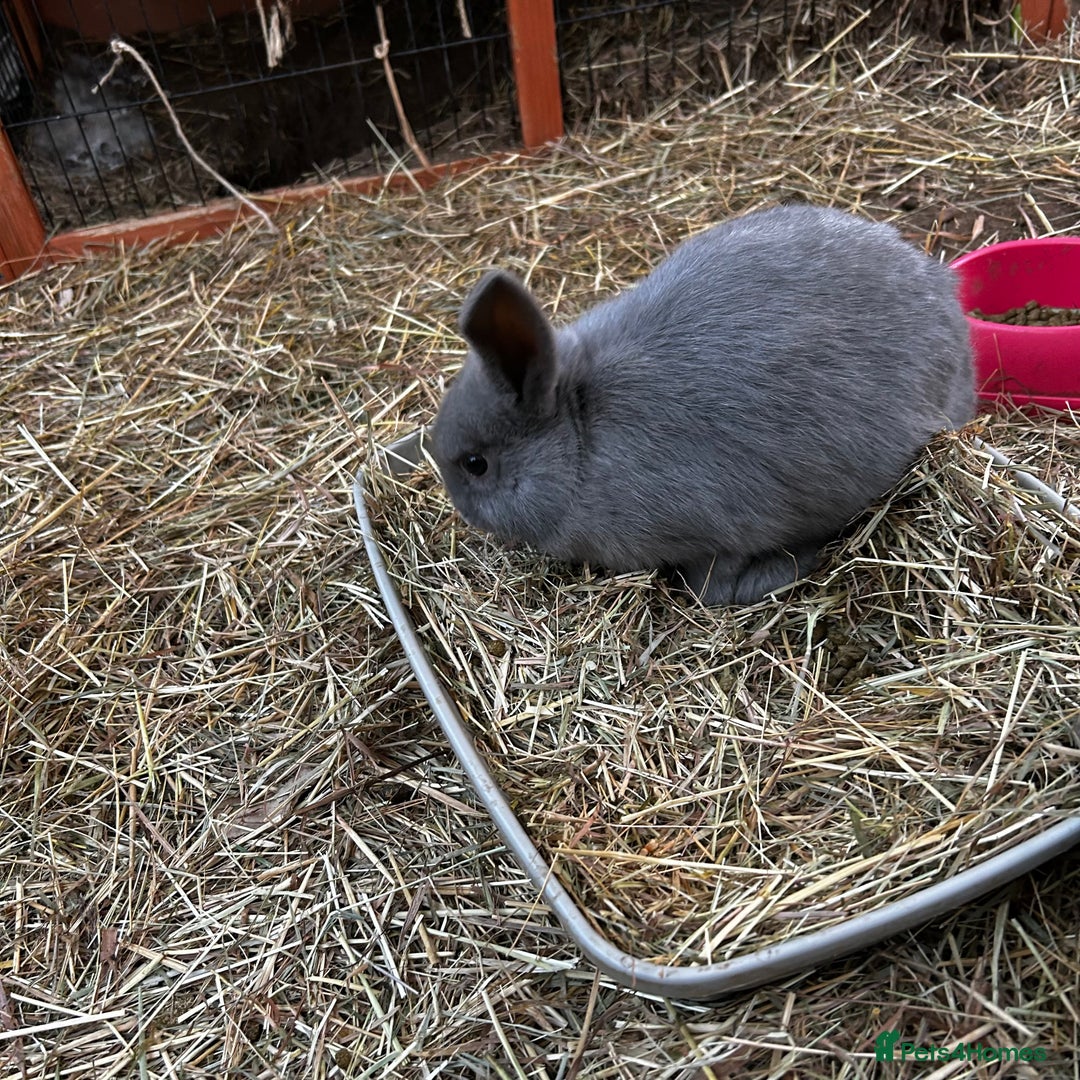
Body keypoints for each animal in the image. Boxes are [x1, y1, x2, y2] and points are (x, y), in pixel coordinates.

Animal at [430, 203, 975, 606]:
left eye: (476, 464)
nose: (463, 512)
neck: (580, 437)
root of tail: (944, 298)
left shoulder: (718, 533)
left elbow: (711, 585)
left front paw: (768, 576)